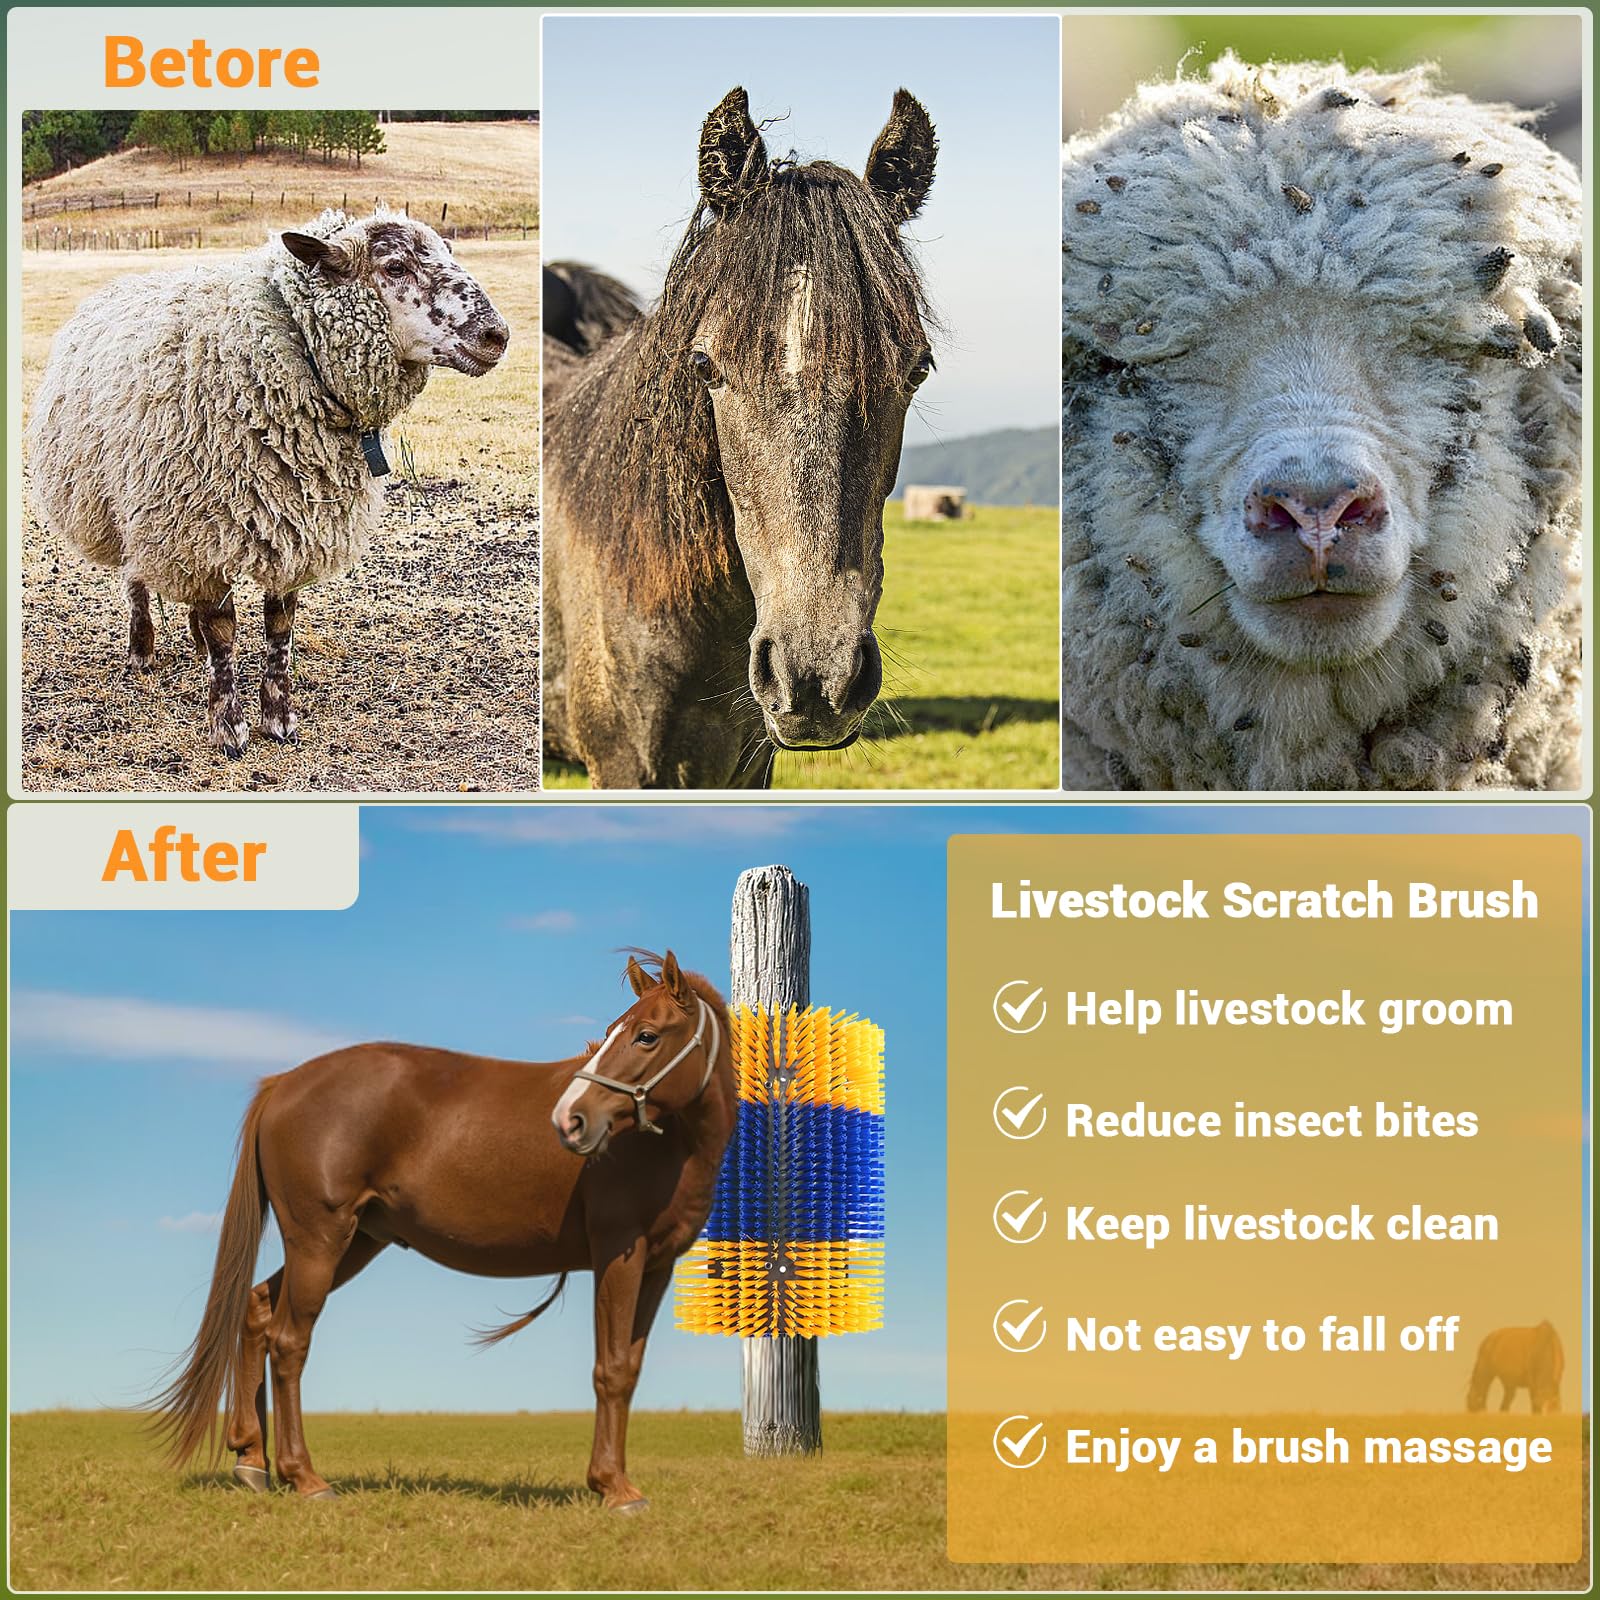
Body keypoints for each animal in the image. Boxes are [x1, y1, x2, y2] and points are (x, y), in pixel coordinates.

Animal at [151, 951, 734, 1511]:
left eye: (646, 1035)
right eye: (614, 1031)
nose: (571, 1119)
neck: (667, 1145)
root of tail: (283, 1085)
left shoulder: (656, 1265)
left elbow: (628, 1369)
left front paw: (617, 1481)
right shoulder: (618, 1254)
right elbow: (609, 1369)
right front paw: (614, 1488)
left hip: (351, 1242)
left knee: (257, 1308)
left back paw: (252, 1458)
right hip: (319, 1240)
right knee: (288, 1342)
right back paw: (306, 1478)